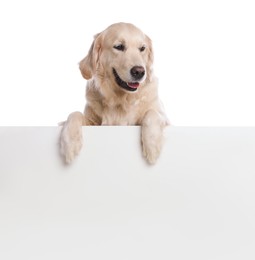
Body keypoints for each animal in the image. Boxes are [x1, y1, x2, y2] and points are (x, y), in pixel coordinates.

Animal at [60, 22, 169, 165]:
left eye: (142, 48)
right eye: (119, 47)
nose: (139, 72)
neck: (120, 99)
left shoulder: (163, 117)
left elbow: (152, 113)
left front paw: (152, 146)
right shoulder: (93, 123)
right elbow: (74, 114)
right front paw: (70, 144)